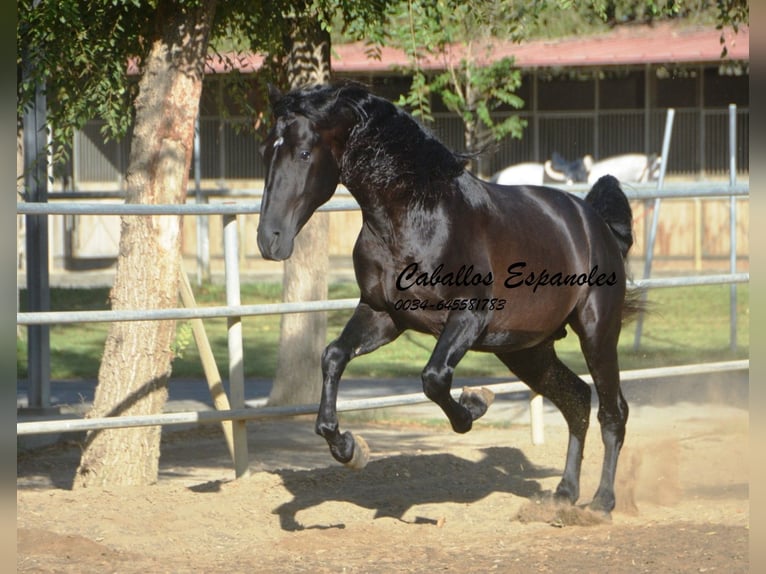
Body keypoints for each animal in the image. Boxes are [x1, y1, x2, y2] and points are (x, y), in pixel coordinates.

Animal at [260, 83, 640, 516]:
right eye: (265, 151)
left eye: (304, 153)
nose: (269, 239)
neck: (414, 216)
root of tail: (594, 222)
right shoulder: (383, 315)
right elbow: (334, 356)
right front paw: (349, 448)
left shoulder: (468, 317)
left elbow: (434, 378)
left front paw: (475, 404)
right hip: (526, 349)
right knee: (577, 399)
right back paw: (564, 494)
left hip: (597, 332)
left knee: (613, 410)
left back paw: (601, 502)